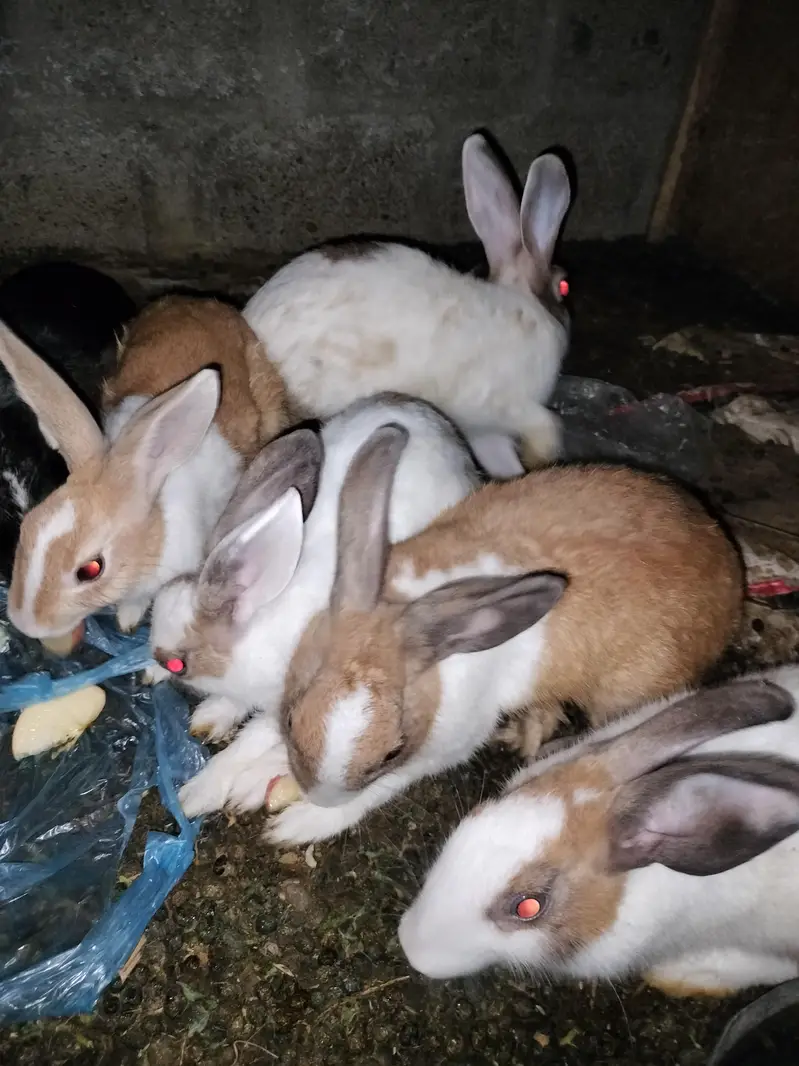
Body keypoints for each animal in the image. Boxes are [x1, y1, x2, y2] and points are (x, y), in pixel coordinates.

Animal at [148, 393, 488, 825]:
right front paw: (211, 717)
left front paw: (198, 793)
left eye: (178, 664)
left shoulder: (292, 703)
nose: (154, 663)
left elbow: (248, 742)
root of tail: (437, 422)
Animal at [277, 423, 744, 846]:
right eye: (291, 717)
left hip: (625, 694)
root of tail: (731, 577)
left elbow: (385, 787)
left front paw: (297, 825)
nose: (317, 796)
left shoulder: (445, 747)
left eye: (392, 751)